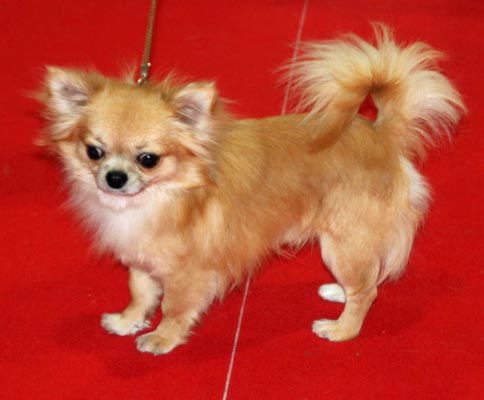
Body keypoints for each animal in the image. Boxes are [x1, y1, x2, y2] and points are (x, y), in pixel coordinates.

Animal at [37, 25, 464, 355]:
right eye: (94, 152)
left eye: (148, 160)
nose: (114, 177)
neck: (161, 198)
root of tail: (381, 134)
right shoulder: (142, 260)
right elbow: (140, 293)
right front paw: (128, 322)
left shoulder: (188, 273)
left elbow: (174, 307)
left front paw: (161, 338)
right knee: (367, 281)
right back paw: (338, 294)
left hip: (343, 244)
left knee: (368, 292)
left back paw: (341, 329)